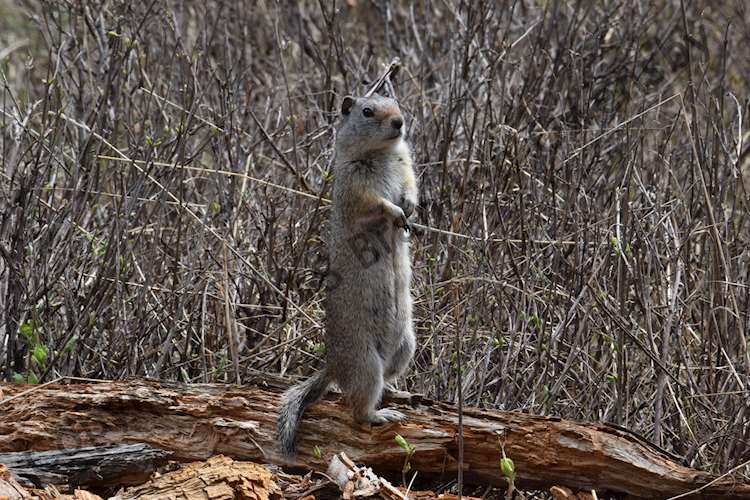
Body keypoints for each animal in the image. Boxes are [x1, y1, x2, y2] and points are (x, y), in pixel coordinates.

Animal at [278, 94, 420, 458]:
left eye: (396, 103)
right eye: (366, 111)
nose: (399, 122)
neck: (382, 153)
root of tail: (333, 365)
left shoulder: (407, 167)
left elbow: (412, 187)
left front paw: (411, 207)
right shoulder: (355, 188)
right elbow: (376, 203)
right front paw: (396, 212)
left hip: (405, 347)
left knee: (388, 378)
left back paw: (398, 393)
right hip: (365, 363)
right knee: (358, 407)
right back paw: (380, 414)